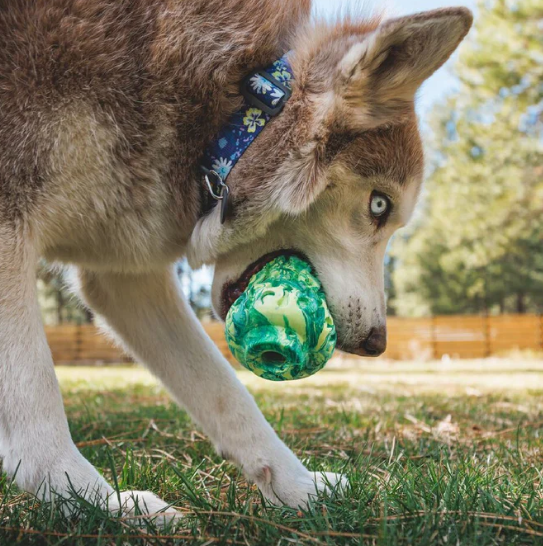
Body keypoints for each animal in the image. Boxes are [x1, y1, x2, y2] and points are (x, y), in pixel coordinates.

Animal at [0, 0, 472, 520]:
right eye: (380, 205)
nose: (377, 342)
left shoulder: (125, 279)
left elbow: (226, 393)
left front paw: (298, 488)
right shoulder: (10, 224)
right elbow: (36, 393)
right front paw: (95, 502)